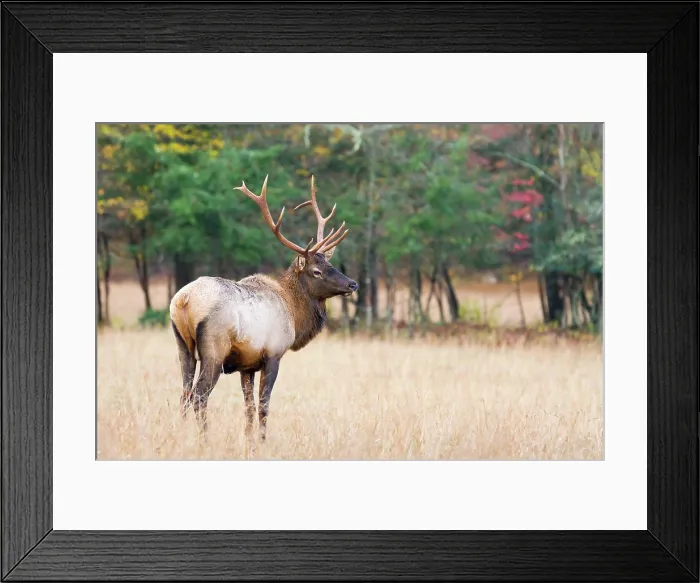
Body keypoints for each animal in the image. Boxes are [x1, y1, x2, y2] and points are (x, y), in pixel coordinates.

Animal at [169, 175, 357, 444]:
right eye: (316, 271)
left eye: (329, 264)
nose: (352, 284)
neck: (293, 312)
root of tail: (184, 300)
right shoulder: (273, 355)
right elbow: (264, 406)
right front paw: (262, 441)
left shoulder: (246, 365)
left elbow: (248, 407)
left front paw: (249, 441)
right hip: (214, 349)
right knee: (199, 395)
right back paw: (204, 439)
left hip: (183, 345)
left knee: (184, 394)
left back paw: (182, 435)